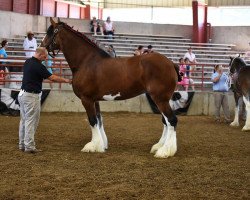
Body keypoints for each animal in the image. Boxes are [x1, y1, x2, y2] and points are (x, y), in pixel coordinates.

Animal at [42, 17, 180, 158]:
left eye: (49, 32)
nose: (42, 46)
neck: (86, 61)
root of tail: (171, 63)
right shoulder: (94, 100)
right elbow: (99, 120)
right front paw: (101, 145)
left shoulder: (86, 99)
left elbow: (92, 120)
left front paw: (91, 146)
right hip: (161, 99)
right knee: (165, 121)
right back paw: (158, 146)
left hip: (160, 99)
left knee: (171, 120)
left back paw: (165, 151)